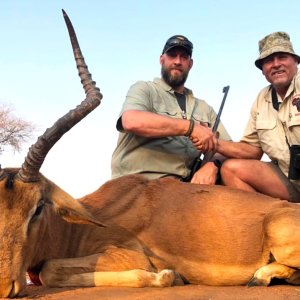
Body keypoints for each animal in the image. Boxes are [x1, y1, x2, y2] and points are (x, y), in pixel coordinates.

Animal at [1, 8, 300, 298]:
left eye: (38, 207)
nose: (6, 287)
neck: (79, 224)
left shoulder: (130, 256)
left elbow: (50, 269)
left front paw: (167, 276)